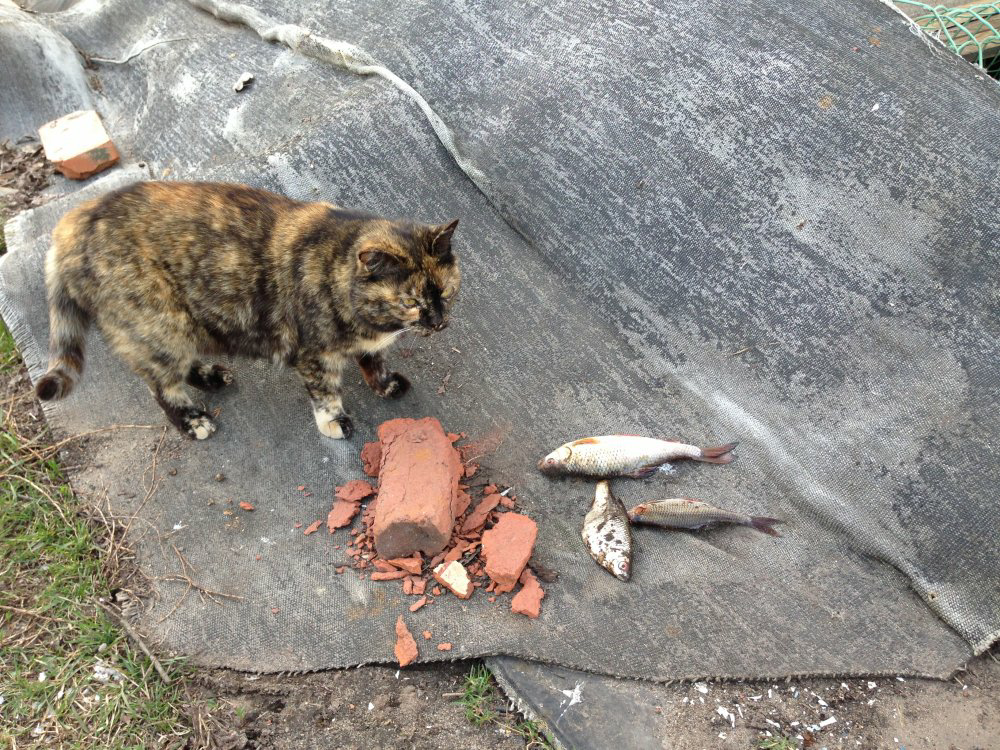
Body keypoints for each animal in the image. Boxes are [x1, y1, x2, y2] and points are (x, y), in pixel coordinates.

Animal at [35, 181, 460, 440]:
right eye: (410, 302)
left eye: (446, 292)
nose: (439, 323)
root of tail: (73, 223)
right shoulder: (313, 355)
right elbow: (326, 392)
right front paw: (334, 421)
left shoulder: (370, 344)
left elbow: (374, 360)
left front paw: (384, 384)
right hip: (159, 325)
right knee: (161, 385)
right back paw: (193, 421)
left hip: (177, 326)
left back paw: (210, 377)